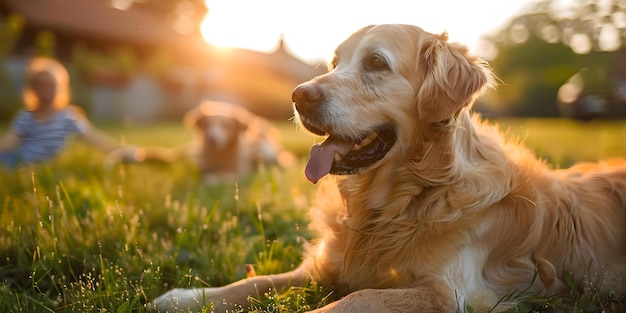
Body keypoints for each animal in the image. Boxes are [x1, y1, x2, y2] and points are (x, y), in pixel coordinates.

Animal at [150, 25, 624, 312]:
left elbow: (351, 301)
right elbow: (256, 281)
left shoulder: (450, 294)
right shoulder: (325, 265)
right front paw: (184, 295)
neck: (404, 200)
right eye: (334, 63)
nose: (298, 96)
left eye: (376, 63)